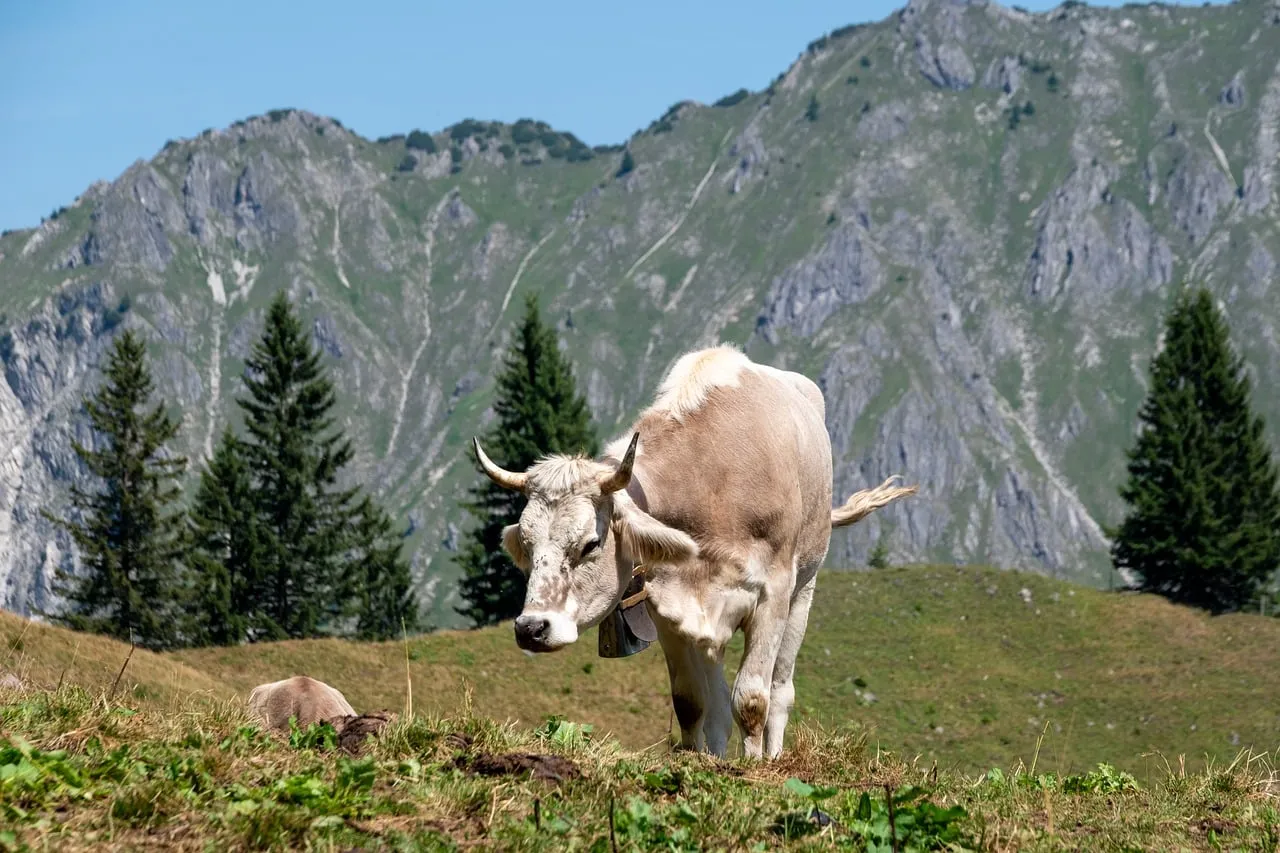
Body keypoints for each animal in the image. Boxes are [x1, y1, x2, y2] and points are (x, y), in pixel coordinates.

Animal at [473, 344, 917, 759]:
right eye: (527, 545)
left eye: (590, 544)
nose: (531, 628)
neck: (711, 484)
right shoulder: (667, 605)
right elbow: (691, 702)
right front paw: (697, 760)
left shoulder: (773, 592)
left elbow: (752, 699)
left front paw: (753, 768)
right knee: (717, 702)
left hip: (804, 588)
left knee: (780, 689)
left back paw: (772, 756)